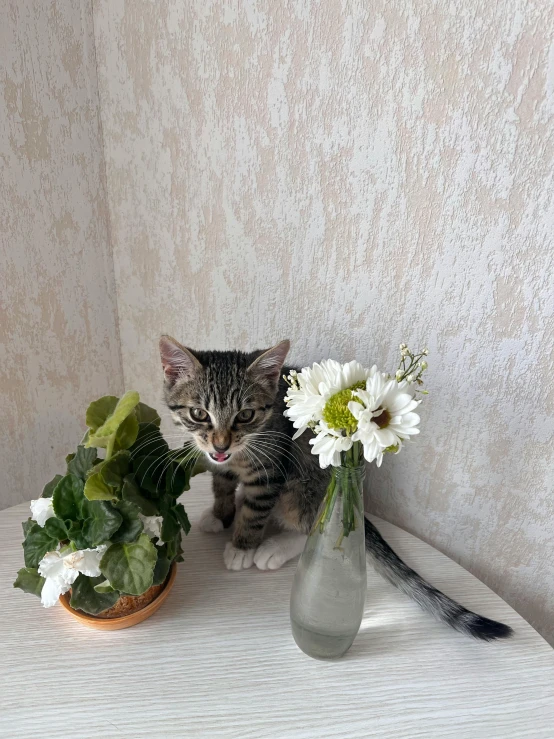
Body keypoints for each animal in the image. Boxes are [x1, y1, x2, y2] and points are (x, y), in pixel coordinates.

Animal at [158, 336, 508, 640]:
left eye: (245, 414)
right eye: (199, 414)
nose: (221, 444)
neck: (242, 452)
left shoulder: (271, 467)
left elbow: (257, 508)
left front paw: (241, 546)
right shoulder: (221, 461)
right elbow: (221, 482)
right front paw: (220, 513)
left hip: (303, 484)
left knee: (312, 524)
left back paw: (274, 548)